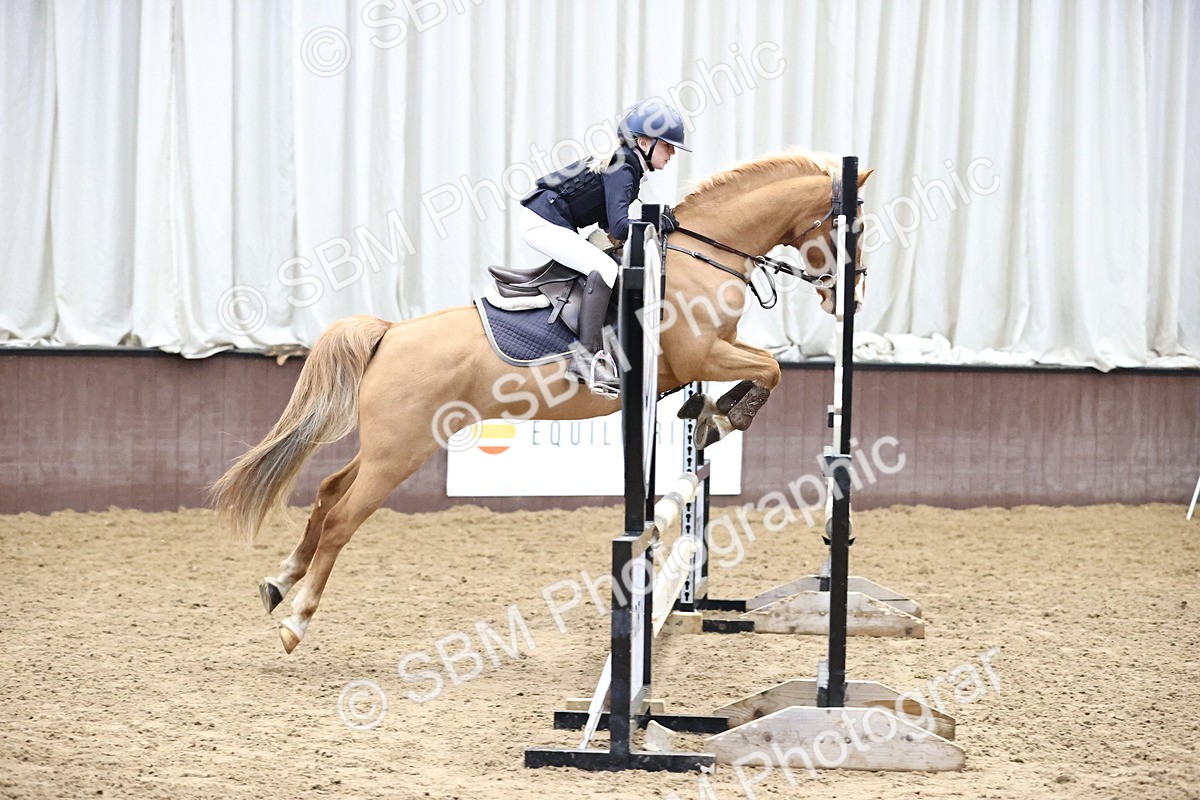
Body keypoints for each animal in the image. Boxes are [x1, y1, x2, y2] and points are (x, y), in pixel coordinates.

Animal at [211, 149, 872, 653]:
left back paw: (279, 582)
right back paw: (297, 621)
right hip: (401, 451)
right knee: (342, 519)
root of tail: (391, 332)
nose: (849, 299)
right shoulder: (702, 355)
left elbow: (761, 367)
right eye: (853, 231)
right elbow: (772, 368)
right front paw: (724, 417)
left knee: (327, 493)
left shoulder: (714, 352)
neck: (700, 259)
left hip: (391, 445)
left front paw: (708, 417)